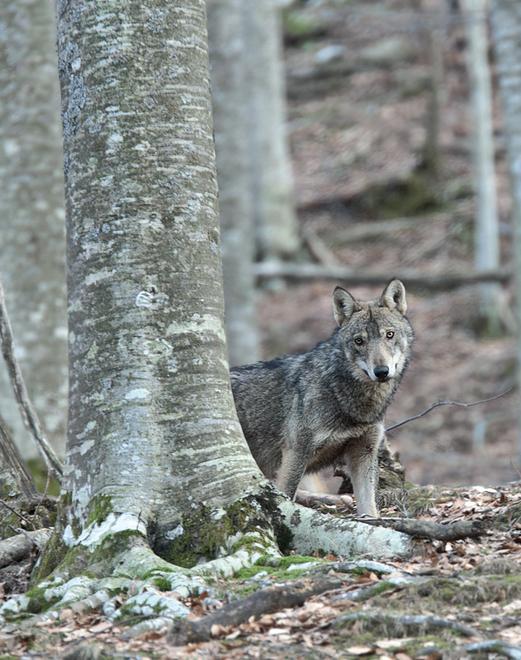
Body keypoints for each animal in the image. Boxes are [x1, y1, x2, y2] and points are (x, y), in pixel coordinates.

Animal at [231, 279, 413, 517]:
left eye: (389, 335)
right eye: (359, 341)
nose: (381, 371)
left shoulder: (364, 452)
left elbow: (370, 508)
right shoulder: (296, 454)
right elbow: (285, 499)